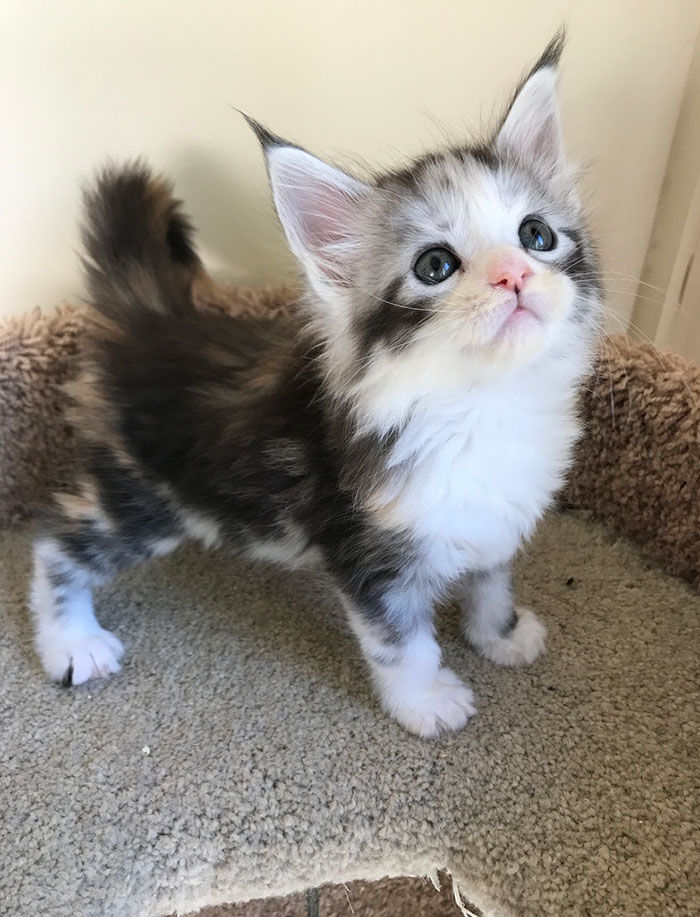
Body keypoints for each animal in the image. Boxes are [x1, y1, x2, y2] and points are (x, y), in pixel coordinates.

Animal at [28, 34, 600, 736]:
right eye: (435, 266)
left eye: (535, 235)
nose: (514, 276)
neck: (481, 402)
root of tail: (159, 319)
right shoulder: (367, 553)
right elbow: (403, 642)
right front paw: (427, 702)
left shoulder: (495, 518)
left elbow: (491, 583)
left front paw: (501, 635)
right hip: (146, 497)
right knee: (57, 543)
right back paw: (71, 643)